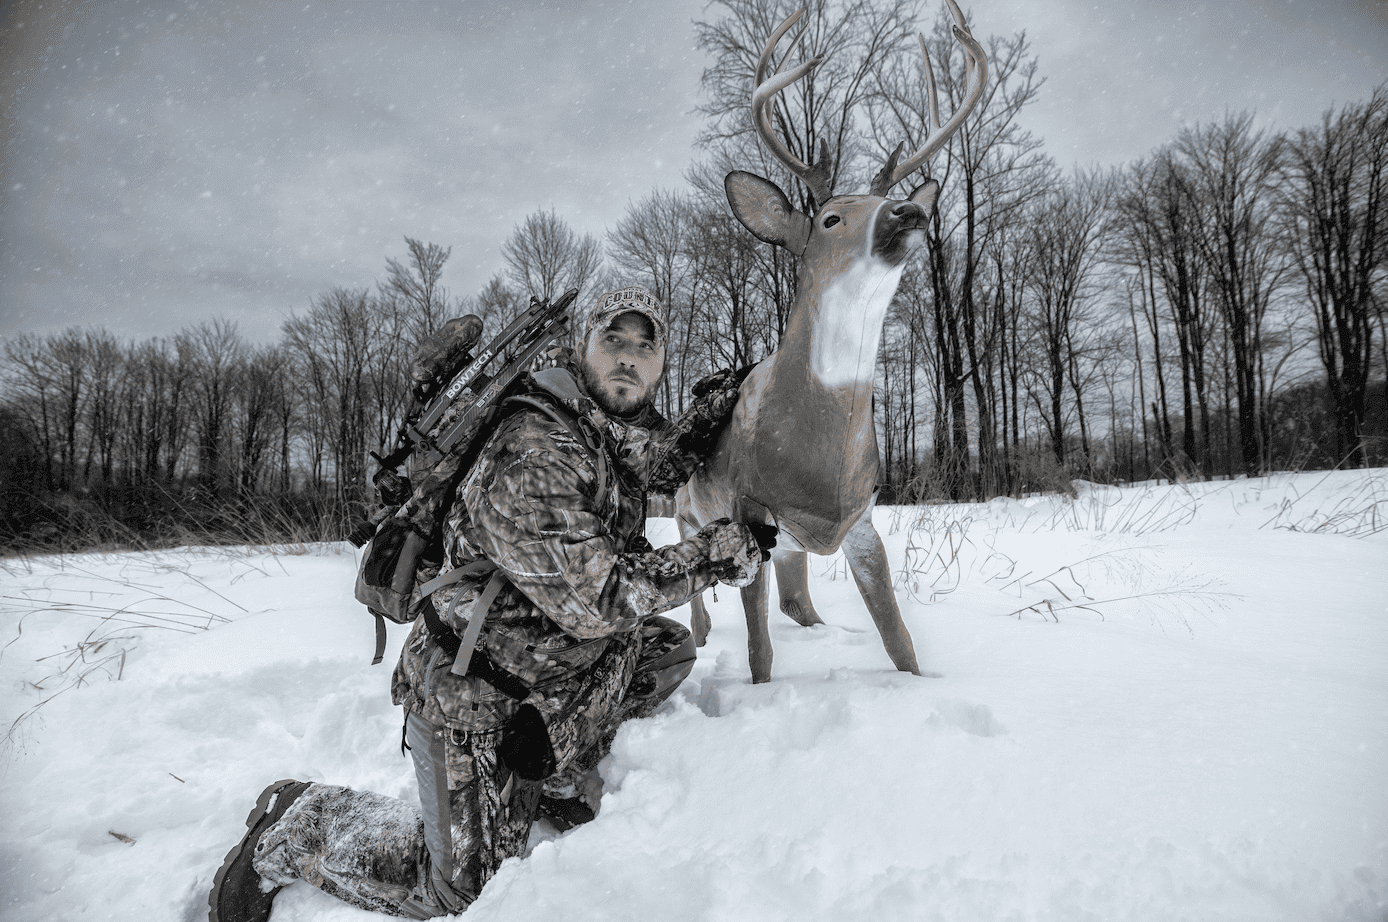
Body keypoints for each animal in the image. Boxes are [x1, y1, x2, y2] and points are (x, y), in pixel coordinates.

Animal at [676, 0, 987, 684]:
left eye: (883, 197)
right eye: (829, 217)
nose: (907, 211)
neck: (823, 464)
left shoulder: (863, 519)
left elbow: (898, 637)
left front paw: (913, 680)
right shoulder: (747, 510)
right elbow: (759, 651)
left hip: (789, 546)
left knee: (799, 602)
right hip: (685, 504)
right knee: (694, 577)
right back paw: (701, 635)